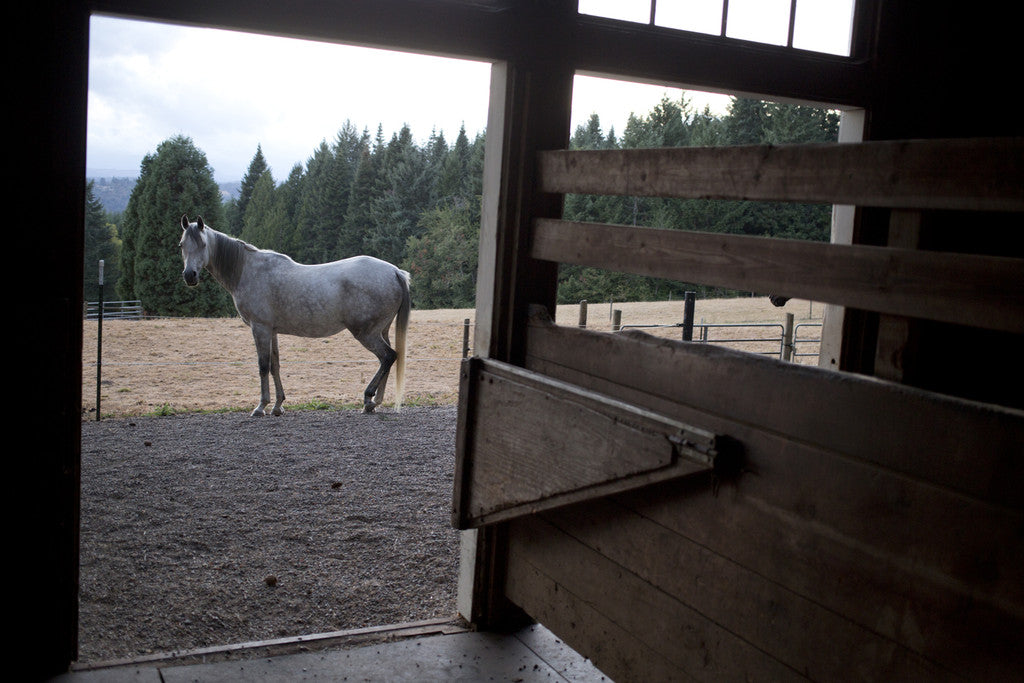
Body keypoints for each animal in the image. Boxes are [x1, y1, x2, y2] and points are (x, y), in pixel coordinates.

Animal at [180, 214, 407, 417]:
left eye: (203, 244)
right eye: (182, 244)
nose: (189, 275)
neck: (247, 270)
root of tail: (395, 272)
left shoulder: (260, 328)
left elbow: (263, 366)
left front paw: (261, 406)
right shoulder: (271, 331)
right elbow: (275, 365)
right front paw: (278, 405)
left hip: (365, 333)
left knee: (387, 356)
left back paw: (368, 399)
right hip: (381, 330)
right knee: (387, 360)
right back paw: (376, 401)